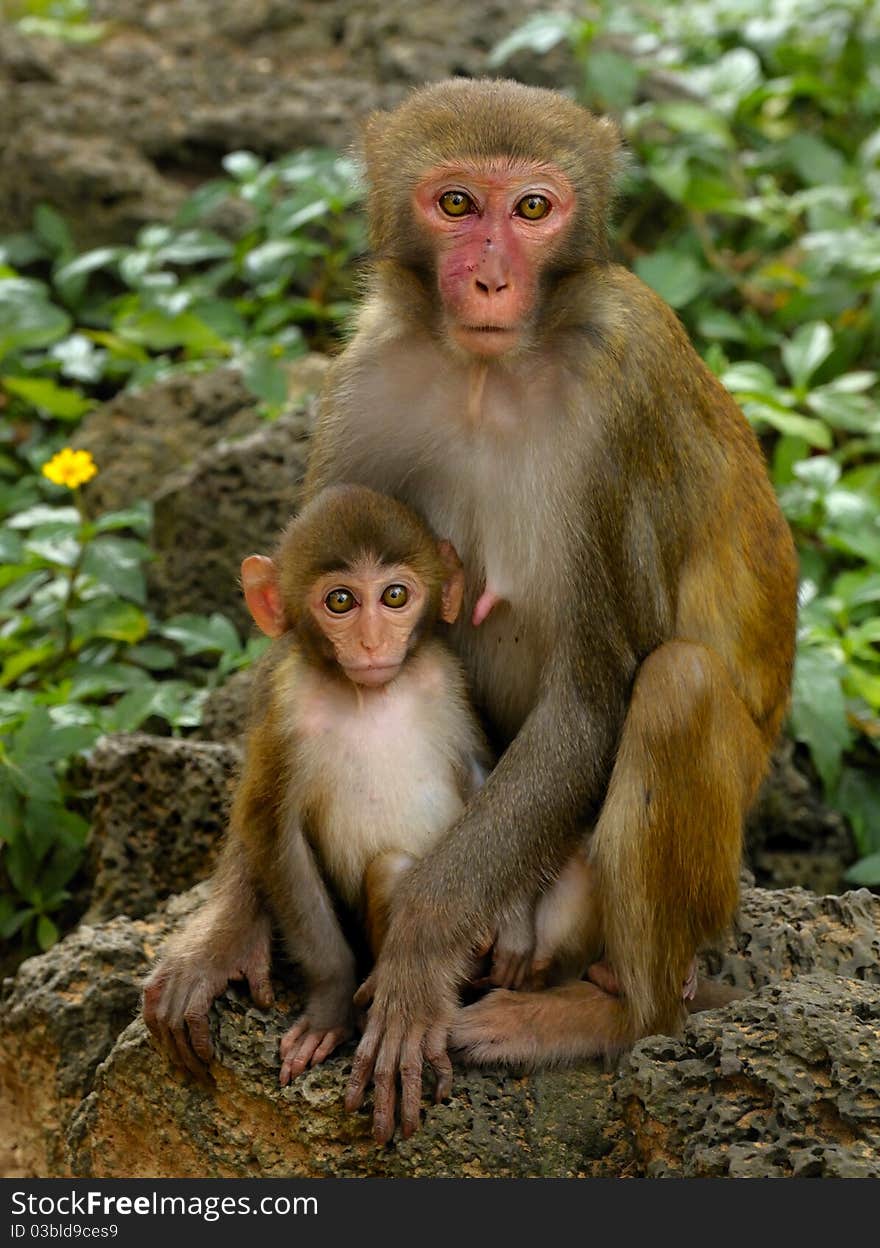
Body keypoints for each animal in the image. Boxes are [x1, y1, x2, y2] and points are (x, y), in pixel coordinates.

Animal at [142, 78, 798, 1143]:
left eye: (532, 209)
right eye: (456, 204)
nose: (490, 280)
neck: (494, 369)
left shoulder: (628, 389)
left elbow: (591, 699)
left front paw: (417, 954)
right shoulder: (367, 378)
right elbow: (287, 673)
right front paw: (222, 928)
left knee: (677, 686)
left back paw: (613, 1013)